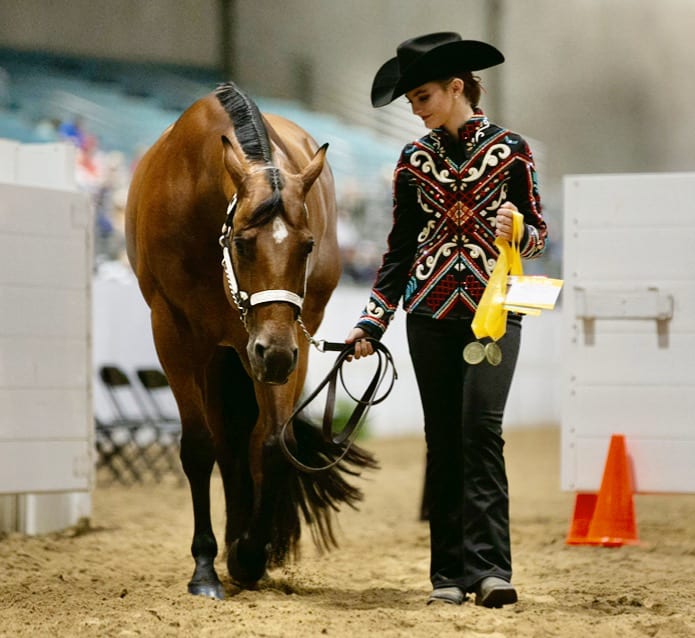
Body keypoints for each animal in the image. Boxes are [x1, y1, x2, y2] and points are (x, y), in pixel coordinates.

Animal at [125, 84, 376, 600]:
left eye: (306, 245)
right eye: (241, 242)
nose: (274, 354)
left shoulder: (277, 342)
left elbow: (274, 445)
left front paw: (250, 554)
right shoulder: (174, 334)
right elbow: (198, 448)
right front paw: (205, 568)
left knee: (247, 440)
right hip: (220, 354)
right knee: (224, 443)